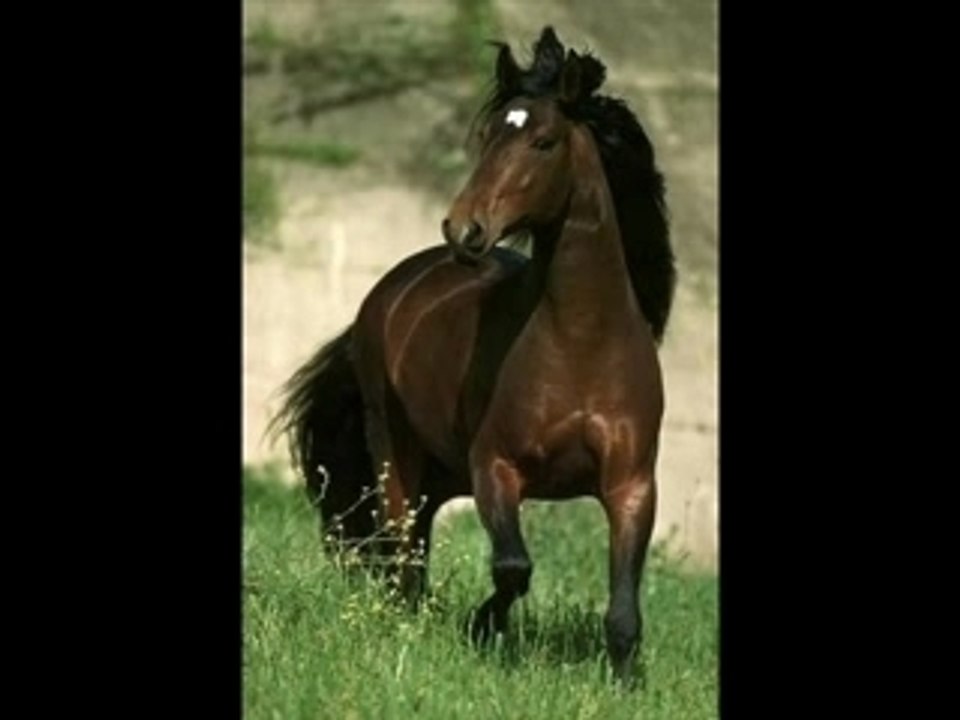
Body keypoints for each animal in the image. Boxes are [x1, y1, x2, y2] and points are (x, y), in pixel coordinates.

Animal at [270, 26, 676, 684]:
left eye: (543, 141)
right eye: (487, 137)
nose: (464, 229)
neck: (582, 343)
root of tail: (400, 283)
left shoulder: (632, 486)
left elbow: (623, 609)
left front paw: (623, 680)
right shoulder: (496, 467)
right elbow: (513, 568)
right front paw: (482, 628)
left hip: (442, 471)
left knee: (417, 544)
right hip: (396, 453)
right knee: (402, 545)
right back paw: (408, 624)